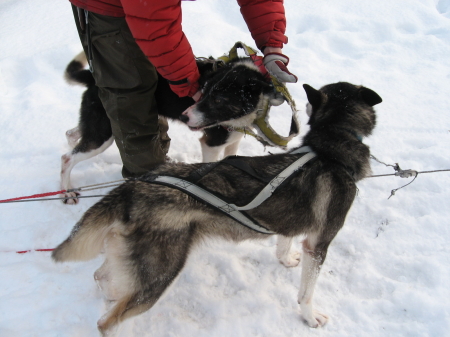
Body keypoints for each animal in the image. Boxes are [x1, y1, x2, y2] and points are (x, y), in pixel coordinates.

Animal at [53, 80, 384, 334]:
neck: (329, 152)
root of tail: (134, 187)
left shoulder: (291, 224)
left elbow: (284, 242)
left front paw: (286, 258)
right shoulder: (319, 244)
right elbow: (306, 293)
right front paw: (310, 317)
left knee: (102, 278)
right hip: (159, 276)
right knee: (106, 323)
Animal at [61, 51, 284, 202]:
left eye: (219, 100)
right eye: (204, 91)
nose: (185, 117)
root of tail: (93, 77)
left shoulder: (232, 140)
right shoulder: (211, 144)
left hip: (99, 126)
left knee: (72, 134)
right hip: (105, 134)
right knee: (67, 158)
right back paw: (66, 192)